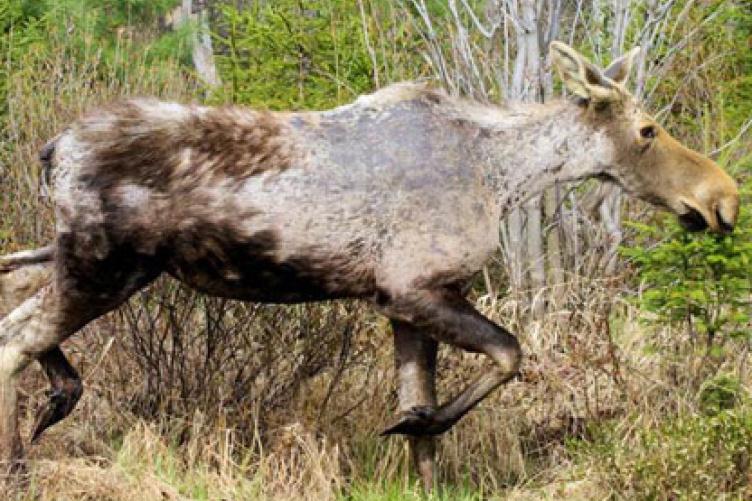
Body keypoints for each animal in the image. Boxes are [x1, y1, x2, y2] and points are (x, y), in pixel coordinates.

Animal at [0, 43, 740, 488]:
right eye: (647, 130)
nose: (723, 198)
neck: (503, 175)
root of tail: (51, 148)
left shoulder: (403, 301)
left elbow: (424, 418)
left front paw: (418, 439)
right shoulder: (413, 288)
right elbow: (507, 355)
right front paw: (416, 423)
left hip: (82, 258)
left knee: (17, 295)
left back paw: (54, 403)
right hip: (106, 265)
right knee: (15, 338)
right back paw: (21, 460)